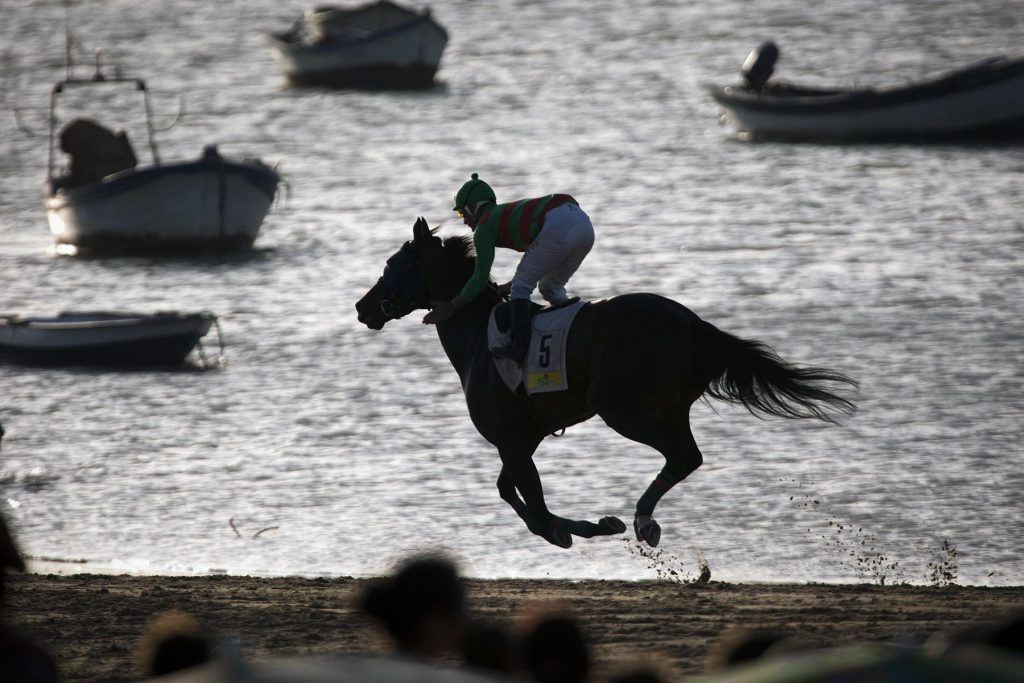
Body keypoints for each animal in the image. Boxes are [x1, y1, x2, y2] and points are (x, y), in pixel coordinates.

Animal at [355, 217, 857, 549]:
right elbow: (510, 492)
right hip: (670, 407)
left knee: (683, 455)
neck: (479, 337)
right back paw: (644, 520)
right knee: (687, 456)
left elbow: (536, 512)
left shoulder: (512, 442)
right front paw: (582, 527)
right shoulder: (521, 438)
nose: (362, 307)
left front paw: (577, 530)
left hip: (621, 408)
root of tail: (694, 325)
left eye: (392, 264)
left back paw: (641, 521)